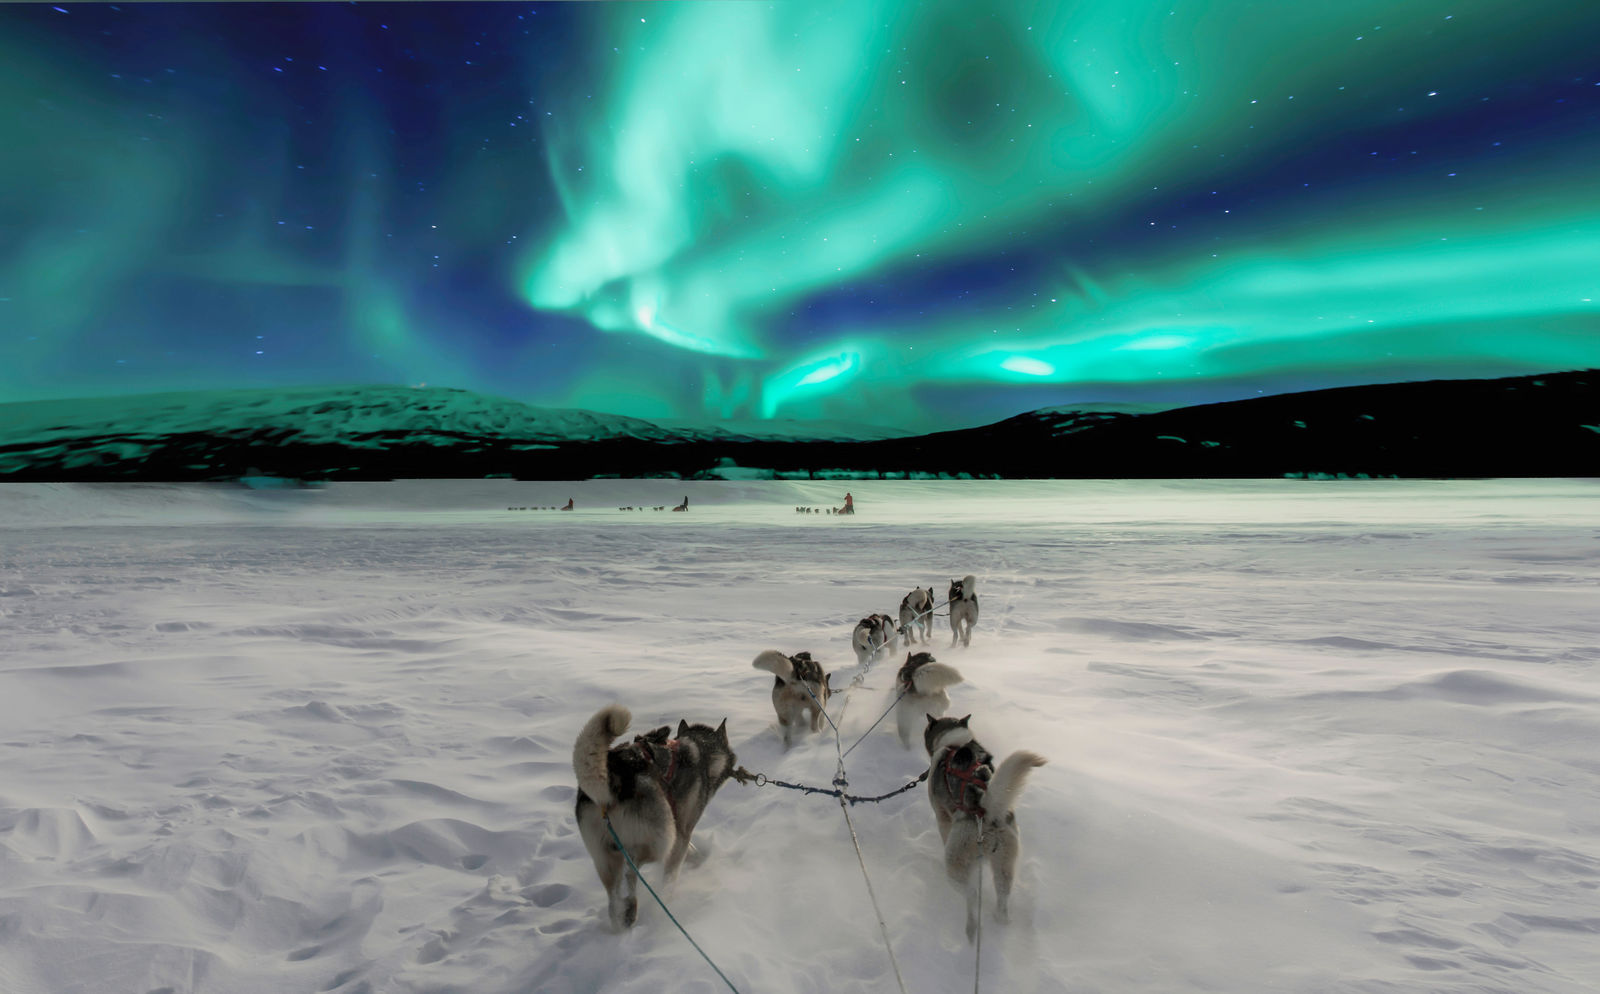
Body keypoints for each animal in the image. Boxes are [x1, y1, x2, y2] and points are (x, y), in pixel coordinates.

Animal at [576, 701, 736, 928]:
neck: (700, 752)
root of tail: (614, 774)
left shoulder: (679, 827)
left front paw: (695, 857)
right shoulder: (682, 830)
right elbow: (672, 872)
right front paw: (669, 895)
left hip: (603, 856)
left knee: (614, 894)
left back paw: (623, 915)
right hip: (661, 839)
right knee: (632, 869)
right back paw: (633, 903)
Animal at [928, 713, 1049, 941]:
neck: (956, 743)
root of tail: (988, 811)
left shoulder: (942, 816)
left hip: (956, 868)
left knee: (971, 895)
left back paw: (972, 928)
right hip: (1004, 865)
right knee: (1002, 899)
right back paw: (999, 919)